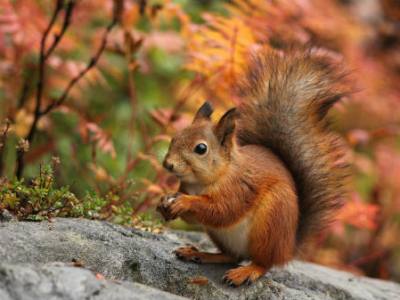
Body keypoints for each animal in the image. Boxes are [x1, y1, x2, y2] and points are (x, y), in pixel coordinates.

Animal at [157, 48, 350, 286]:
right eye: (175, 136)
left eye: (201, 148)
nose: (168, 164)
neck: (203, 182)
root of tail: (287, 248)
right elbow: (195, 217)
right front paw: (165, 200)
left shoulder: (239, 188)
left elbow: (221, 210)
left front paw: (185, 202)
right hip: (222, 235)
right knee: (232, 256)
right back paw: (199, 253)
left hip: (270, 223)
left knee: (263, 263)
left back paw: (246, 272)